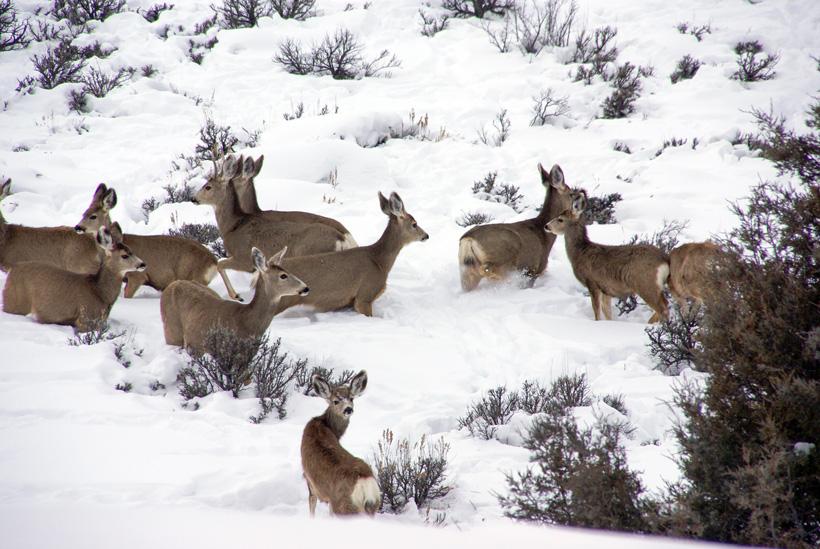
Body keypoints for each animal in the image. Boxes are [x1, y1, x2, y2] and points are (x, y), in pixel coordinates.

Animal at [2, 224, 146, 331]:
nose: (142, 264)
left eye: (132, 250)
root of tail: (12, 270)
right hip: (15, 300)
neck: (99, 292)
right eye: (124, 255)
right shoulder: (85, 318)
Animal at [73, 183, 218, 298]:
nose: (77, 227)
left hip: (194, 277)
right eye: (83, 213)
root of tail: (213, 262)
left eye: (93, 216)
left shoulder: (137, 277)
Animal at [301, 370, 381, 517]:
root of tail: (364, 482)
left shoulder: (309, 480)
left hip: (343, 507)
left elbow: (312, 505)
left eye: (351, 398)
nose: (348, 409)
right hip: (373, 505)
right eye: (336, 401)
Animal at [459, 163, 587, 291]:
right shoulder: (533, 268)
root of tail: (468, 239)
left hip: (466, 271)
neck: (543, 235)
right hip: (503, 253)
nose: (582, 198)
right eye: (571, 194)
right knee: (487, 269)